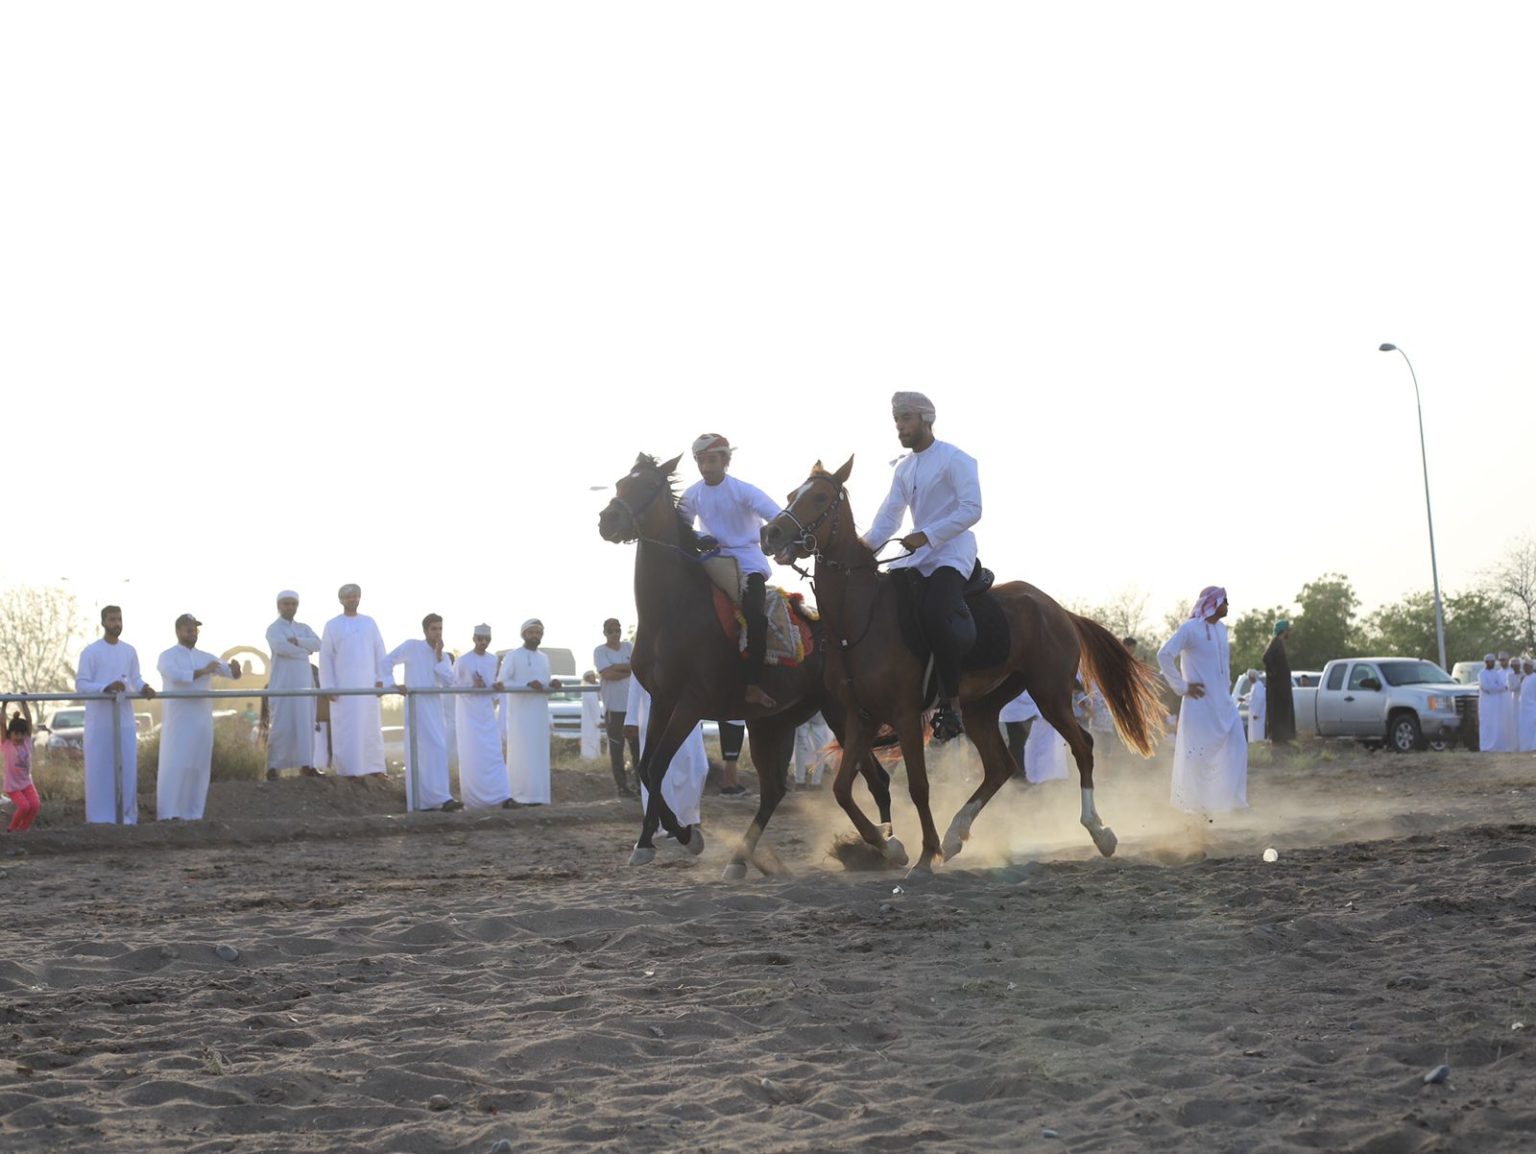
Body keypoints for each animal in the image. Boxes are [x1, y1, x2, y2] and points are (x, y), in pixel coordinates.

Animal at [597, 453, 897, 879]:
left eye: (648, 486)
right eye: (621, 482)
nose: (609, 520)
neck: (672, 609)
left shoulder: (690, 703)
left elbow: (657, 767)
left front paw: (684, 837)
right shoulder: (662, 700)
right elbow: (645, 767)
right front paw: (654, 841)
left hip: (840, 713)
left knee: (877, 780)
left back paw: (884, 847)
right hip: (772, 722)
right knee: (774, 790)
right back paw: (741, 860)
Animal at [759, 456, 1166, 874]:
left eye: (820, 497)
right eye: (791, 495)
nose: (770, 533)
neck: (858, 620)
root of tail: (1057, 609)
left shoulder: (904, 715)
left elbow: (918, 786)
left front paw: (925, 854)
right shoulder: (861, 716)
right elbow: (842, 789)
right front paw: (891, 846)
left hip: (1049, 694)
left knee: (1082, 747)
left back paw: (1100, 832)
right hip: (980, 706)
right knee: (1001, 765)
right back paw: (956, 834)